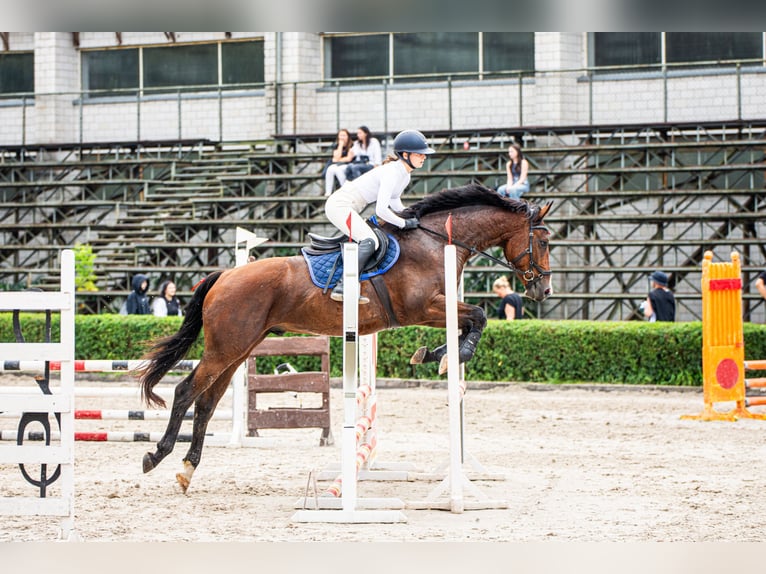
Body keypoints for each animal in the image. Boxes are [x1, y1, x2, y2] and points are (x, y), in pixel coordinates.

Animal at [138, 186, 556, 496]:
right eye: (544, 242)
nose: (544, 290)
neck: (434, 243)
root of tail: (224, 275)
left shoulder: (437, 308)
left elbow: (469, 322)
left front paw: (434, 355)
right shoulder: (422, 308)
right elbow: (479, 316)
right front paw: (448, 354)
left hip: (238, 350)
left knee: (207, 402)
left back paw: (187, 470)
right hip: (226, 347)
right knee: (185, 391)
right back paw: (156, 455)